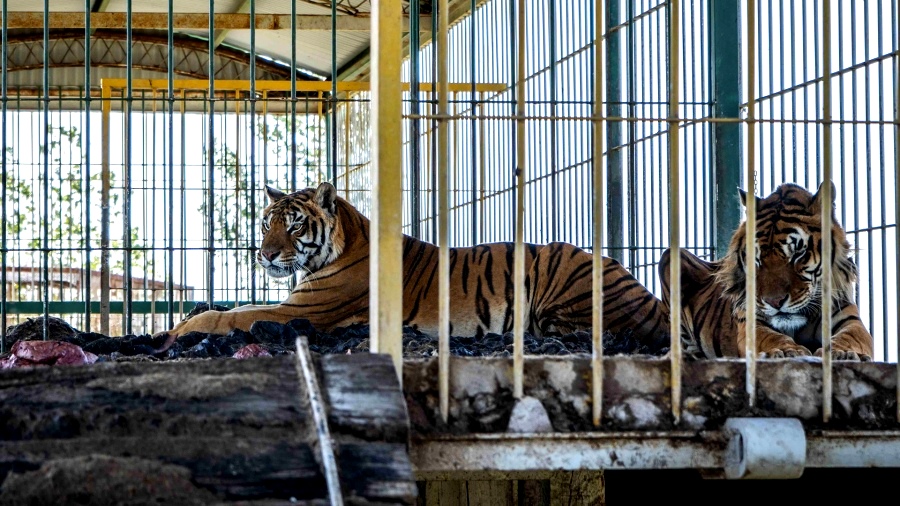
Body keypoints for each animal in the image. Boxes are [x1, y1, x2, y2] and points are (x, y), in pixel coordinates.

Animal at [153, 181, 671, 353]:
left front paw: (178, 329)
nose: (264, 254)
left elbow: (229, 316)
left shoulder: (298, 311)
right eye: (266, 223)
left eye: (295, 225)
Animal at [659, 181, 873, 361]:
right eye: (757, 258)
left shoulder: (849, 318)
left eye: (798, 253)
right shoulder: (751, 322)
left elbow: (850, 336)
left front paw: (843, 353)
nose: (775, 302)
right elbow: (771, 337)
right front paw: (787, 350)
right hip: (670, 256)